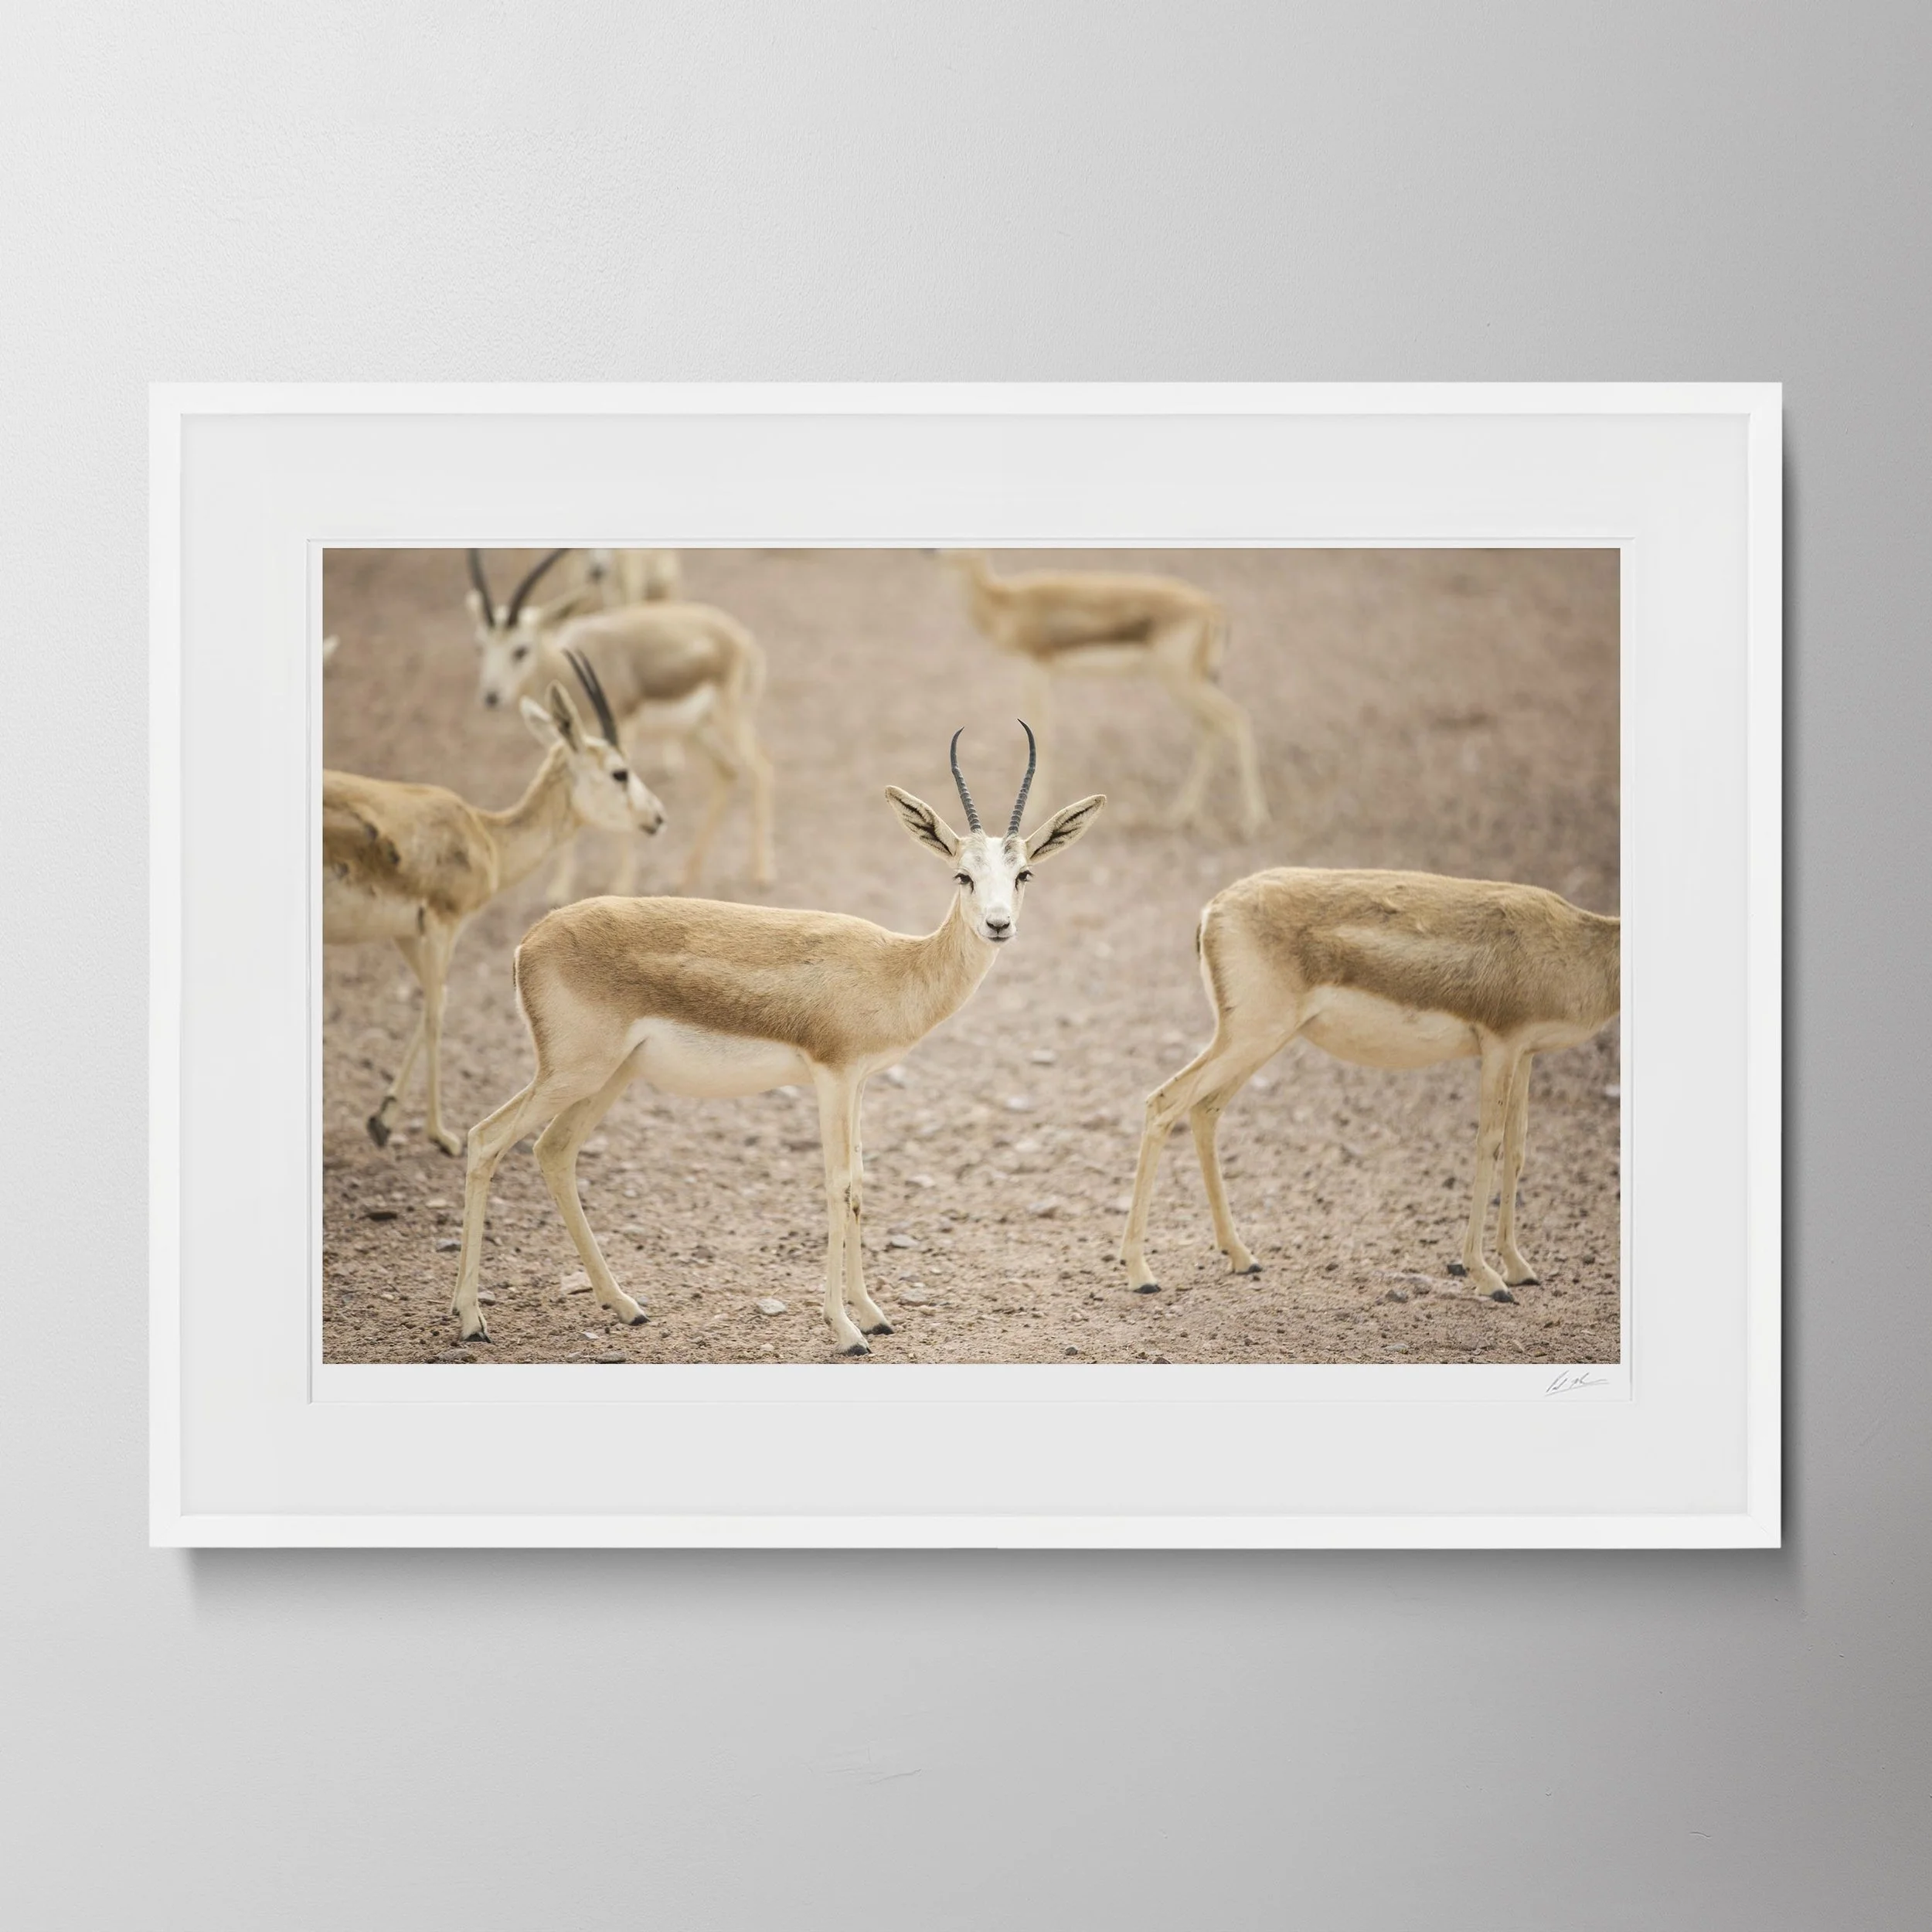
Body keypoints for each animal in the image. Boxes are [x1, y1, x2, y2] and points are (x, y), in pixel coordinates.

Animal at [324, 660, 666, 1156]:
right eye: (620, 772)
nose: (657, 817)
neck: (487, 838)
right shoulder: (444, 924)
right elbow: (436, 1013)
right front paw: (440, 1135)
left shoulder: (409, 933)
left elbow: (434, 1001)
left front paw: (382, 1120)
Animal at [448, 725, 1105, 1351]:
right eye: (962, 874)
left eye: (1023, 873)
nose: (998, 924)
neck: (894, 967)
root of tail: (531, 940)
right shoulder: (832, 1076)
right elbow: (837, 1185)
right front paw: (845, 1331)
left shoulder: (859, 1082)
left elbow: (860, 1183)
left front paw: (874, 1314)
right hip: (571, 1072)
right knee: (484, 1140)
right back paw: (471, 1319)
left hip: (611, 1076)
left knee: (553, 1151)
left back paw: (624, 1304)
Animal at [466, 549, 775, 896]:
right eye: (480, 645)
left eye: (520, 650)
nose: (491, 696)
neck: (561, 662)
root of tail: (743, 638)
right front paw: (559, 888)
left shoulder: (623, 727)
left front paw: (623, 884)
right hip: (693, 730)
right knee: (727, 772)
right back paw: (686, 875)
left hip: (729, 718)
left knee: (761, 769)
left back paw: (762, 872)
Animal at [940, 551, 1268, 836]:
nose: (932, 551)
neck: (1006, 601)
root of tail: (1212, 607)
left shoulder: (1036, 668)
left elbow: (1042, 733)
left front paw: (1035, 811)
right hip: (1189, 684)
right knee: (1210, 728)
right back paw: (1182, 813)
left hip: (1182, 682)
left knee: (1236, 719)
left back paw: (1251, 820)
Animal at [1118, 868, 1620, 1302]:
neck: (1577, 945)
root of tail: (1214, 909)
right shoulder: (1500, 1046)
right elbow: (1488, 1147)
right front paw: (1487, 1277)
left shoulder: (1525, 1054)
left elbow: (1516, 1149)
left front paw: (1518, 1266)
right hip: (1250, 1036)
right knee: (1163, 1103)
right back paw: (1142, 1273)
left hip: (1259, 1041)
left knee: (1204, 1109)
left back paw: (1241, 1256)